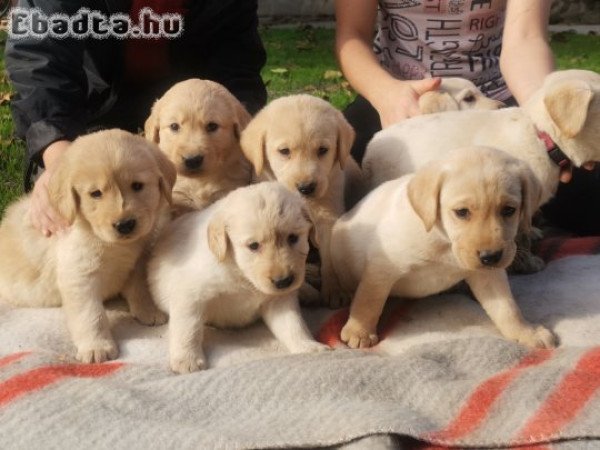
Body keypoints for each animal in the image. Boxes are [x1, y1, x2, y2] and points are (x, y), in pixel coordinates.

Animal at [0, 129, 176, 362]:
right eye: (96, 193)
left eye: (137, 186)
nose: (125, 225)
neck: (111, 244)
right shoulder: (80, 277)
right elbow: (92, 315)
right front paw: (96, 347)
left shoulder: (138, 263)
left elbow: (140, 289)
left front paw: (149, 312)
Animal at [148, 179, 330, 372]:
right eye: (253, 246)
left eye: (293, 238)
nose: (284, 282)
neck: (241, 273)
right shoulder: (190, 296)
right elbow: (188, 327)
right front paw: (187, 360)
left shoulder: (279, 300)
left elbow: (293, 325)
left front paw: (308, 345)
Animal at [240, 93, 360, 308]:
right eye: (284, 151)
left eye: (323, 150)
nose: (306, 187)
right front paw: (303, 290)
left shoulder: (328, 216)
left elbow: (329, 255)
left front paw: (335, 289)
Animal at [330, 146, 556, 350]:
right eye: (462, 212)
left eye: (509, 210)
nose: (490, 257)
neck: (445, 242)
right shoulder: (382, 266)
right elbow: (369, 301)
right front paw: (359, 331)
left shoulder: (488, 275)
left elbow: (507, 308)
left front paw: (525, 332)